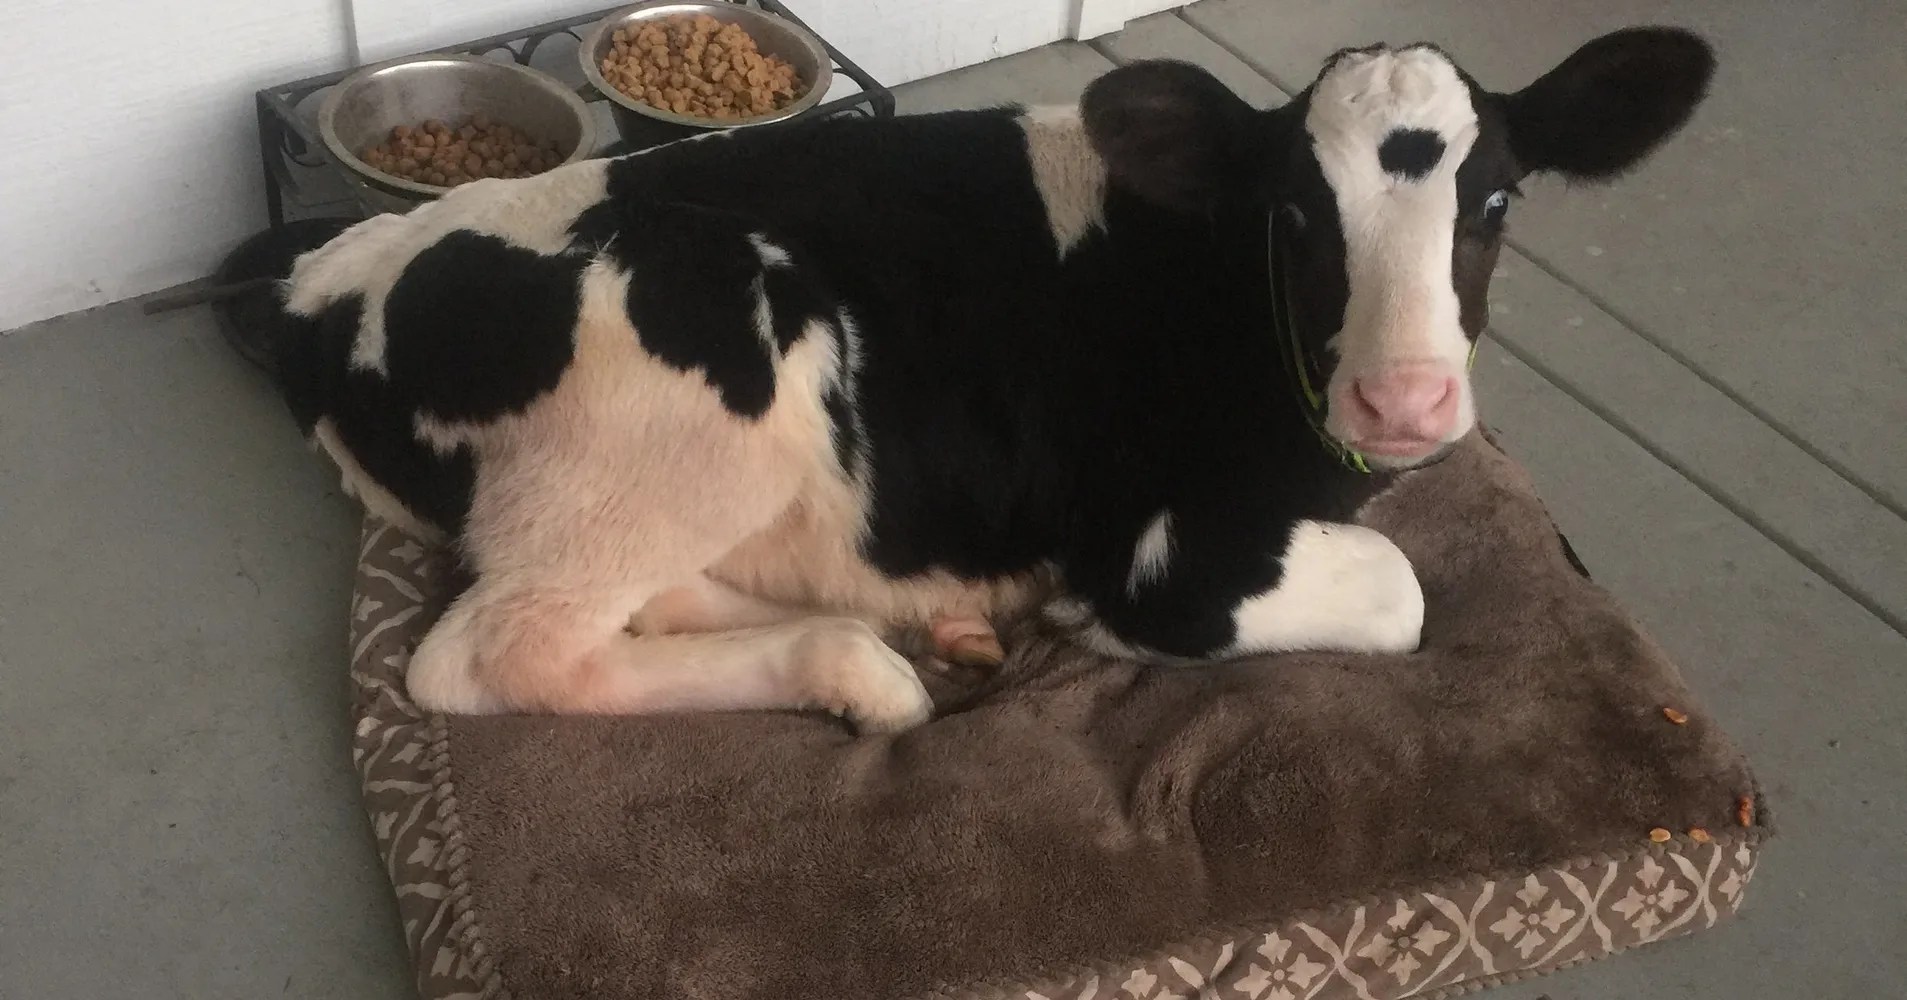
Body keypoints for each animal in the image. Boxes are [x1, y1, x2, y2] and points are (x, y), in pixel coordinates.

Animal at [251, 27, 1714, 733]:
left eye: (1496, 200)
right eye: (1295, 213)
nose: (1402, 400)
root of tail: (328, 281)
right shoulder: (1159, 544)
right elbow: (1403, 595)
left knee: (645, 597)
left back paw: (910, 635)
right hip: (712, 379)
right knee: (498, 654)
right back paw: (865, 674)